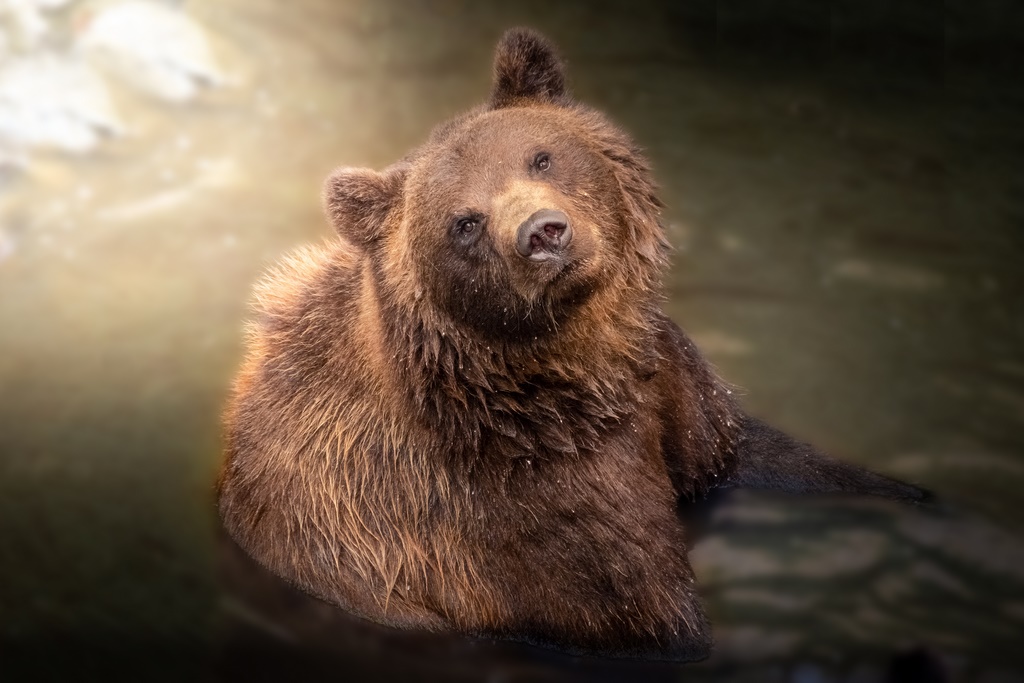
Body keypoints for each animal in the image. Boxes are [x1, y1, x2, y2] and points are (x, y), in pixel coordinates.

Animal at [217, 28, 929, 662]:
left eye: (540, 156)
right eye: (464, 222)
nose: (543, 232)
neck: (577, 368)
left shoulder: (670, 390)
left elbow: (759, 454)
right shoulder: (520, 512)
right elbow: (651, 611)